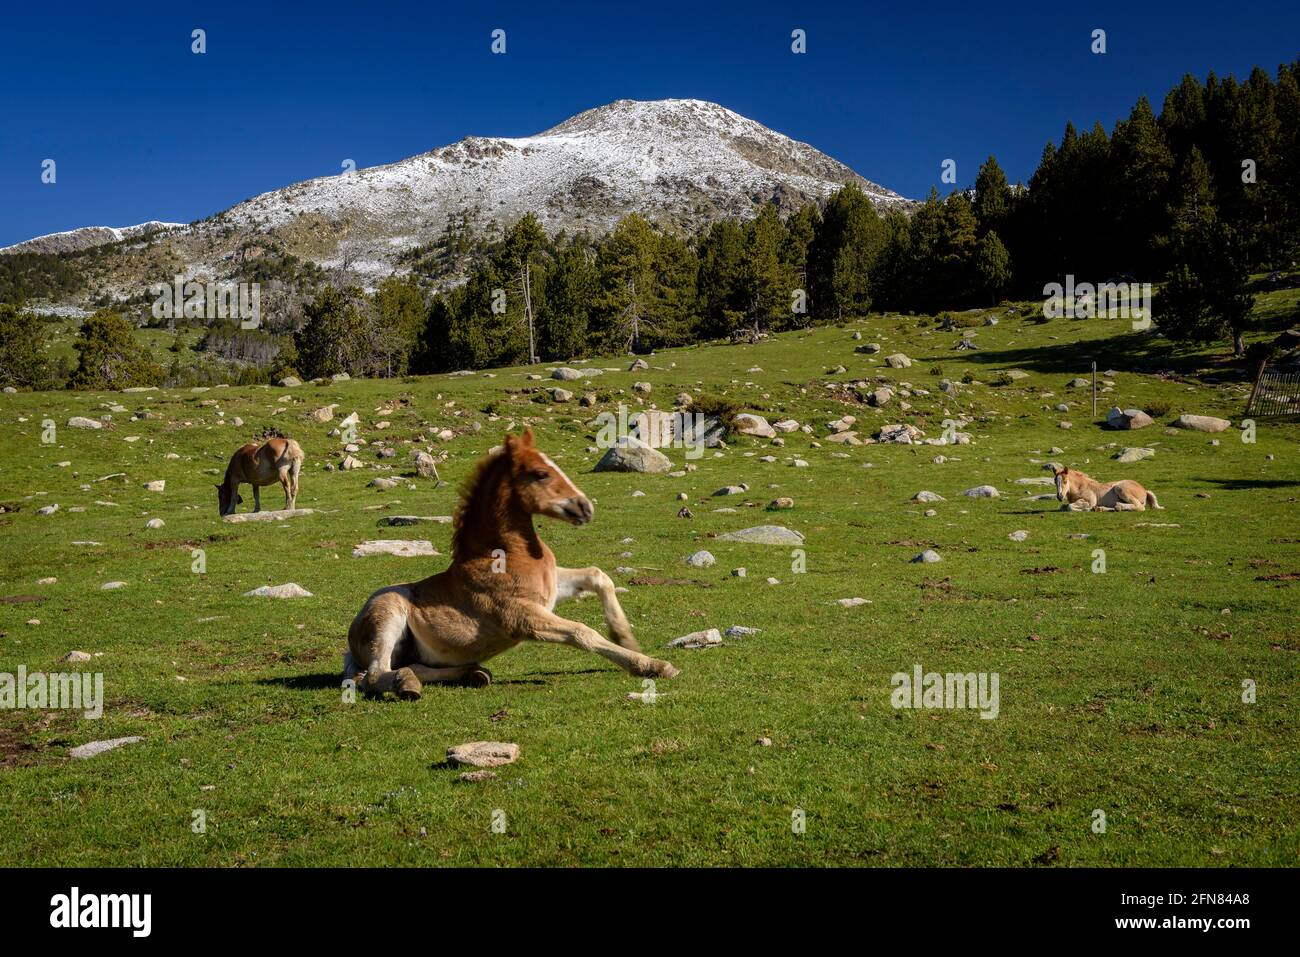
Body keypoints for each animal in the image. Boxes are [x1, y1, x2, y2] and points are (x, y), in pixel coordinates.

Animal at [345, 429, 681, 696]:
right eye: (541, 473)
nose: (586, 507)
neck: (503, 556)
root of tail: (351, 640)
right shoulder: (521, 617)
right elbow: (582, 632)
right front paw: (651, 665)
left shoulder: (550, 590)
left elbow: (598, 576)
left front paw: (625, 636)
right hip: (387, 617)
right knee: (373, 675)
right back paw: (407, 684)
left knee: (411, 667)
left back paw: (474, 673)